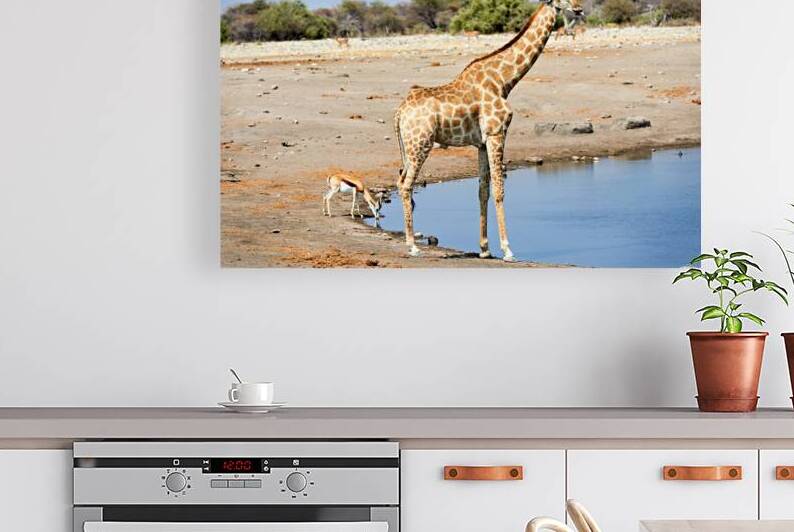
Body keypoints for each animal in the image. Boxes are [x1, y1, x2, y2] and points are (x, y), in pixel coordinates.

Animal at [394, 0, 584, 261]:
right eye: (563, 0)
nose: (579, 8)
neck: (504, 80)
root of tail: (399, 112)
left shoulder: (482, 142)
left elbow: (483, 189)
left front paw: (484, 248)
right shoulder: (497, 133)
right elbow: (499, 189)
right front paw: (507, 249)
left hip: (410, 146)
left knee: (400, 180)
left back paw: (409, 241)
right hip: (420, 143)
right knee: (406, 184)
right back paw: (412, 245)